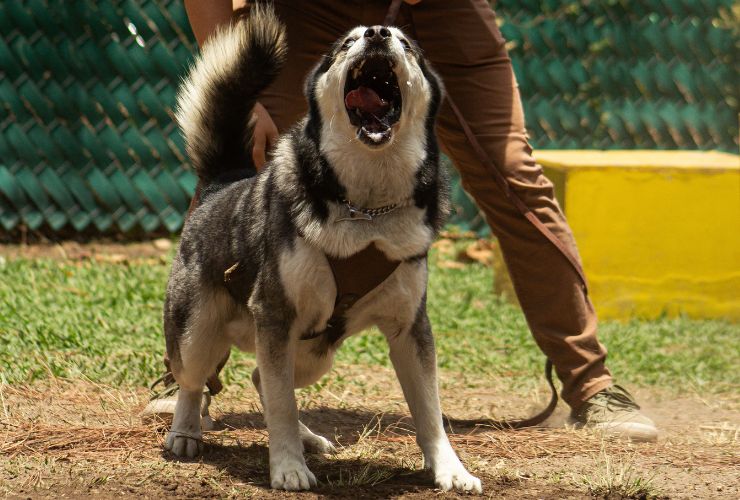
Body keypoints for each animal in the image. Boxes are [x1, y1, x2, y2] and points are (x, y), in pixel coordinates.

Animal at [165, 5, 482, 494]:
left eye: (407, 46)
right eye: (346, 44)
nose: (377, 33)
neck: (367, 209)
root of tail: (224, 182)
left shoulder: (411, 327)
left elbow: (430, 412)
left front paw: (451, 470)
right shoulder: (275, 313)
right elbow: (280, 405)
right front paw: (287, 467)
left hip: (314, 355)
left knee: (261, 376)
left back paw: (307, 438)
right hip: (199, 329)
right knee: (194, 381)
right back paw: (185, 433)